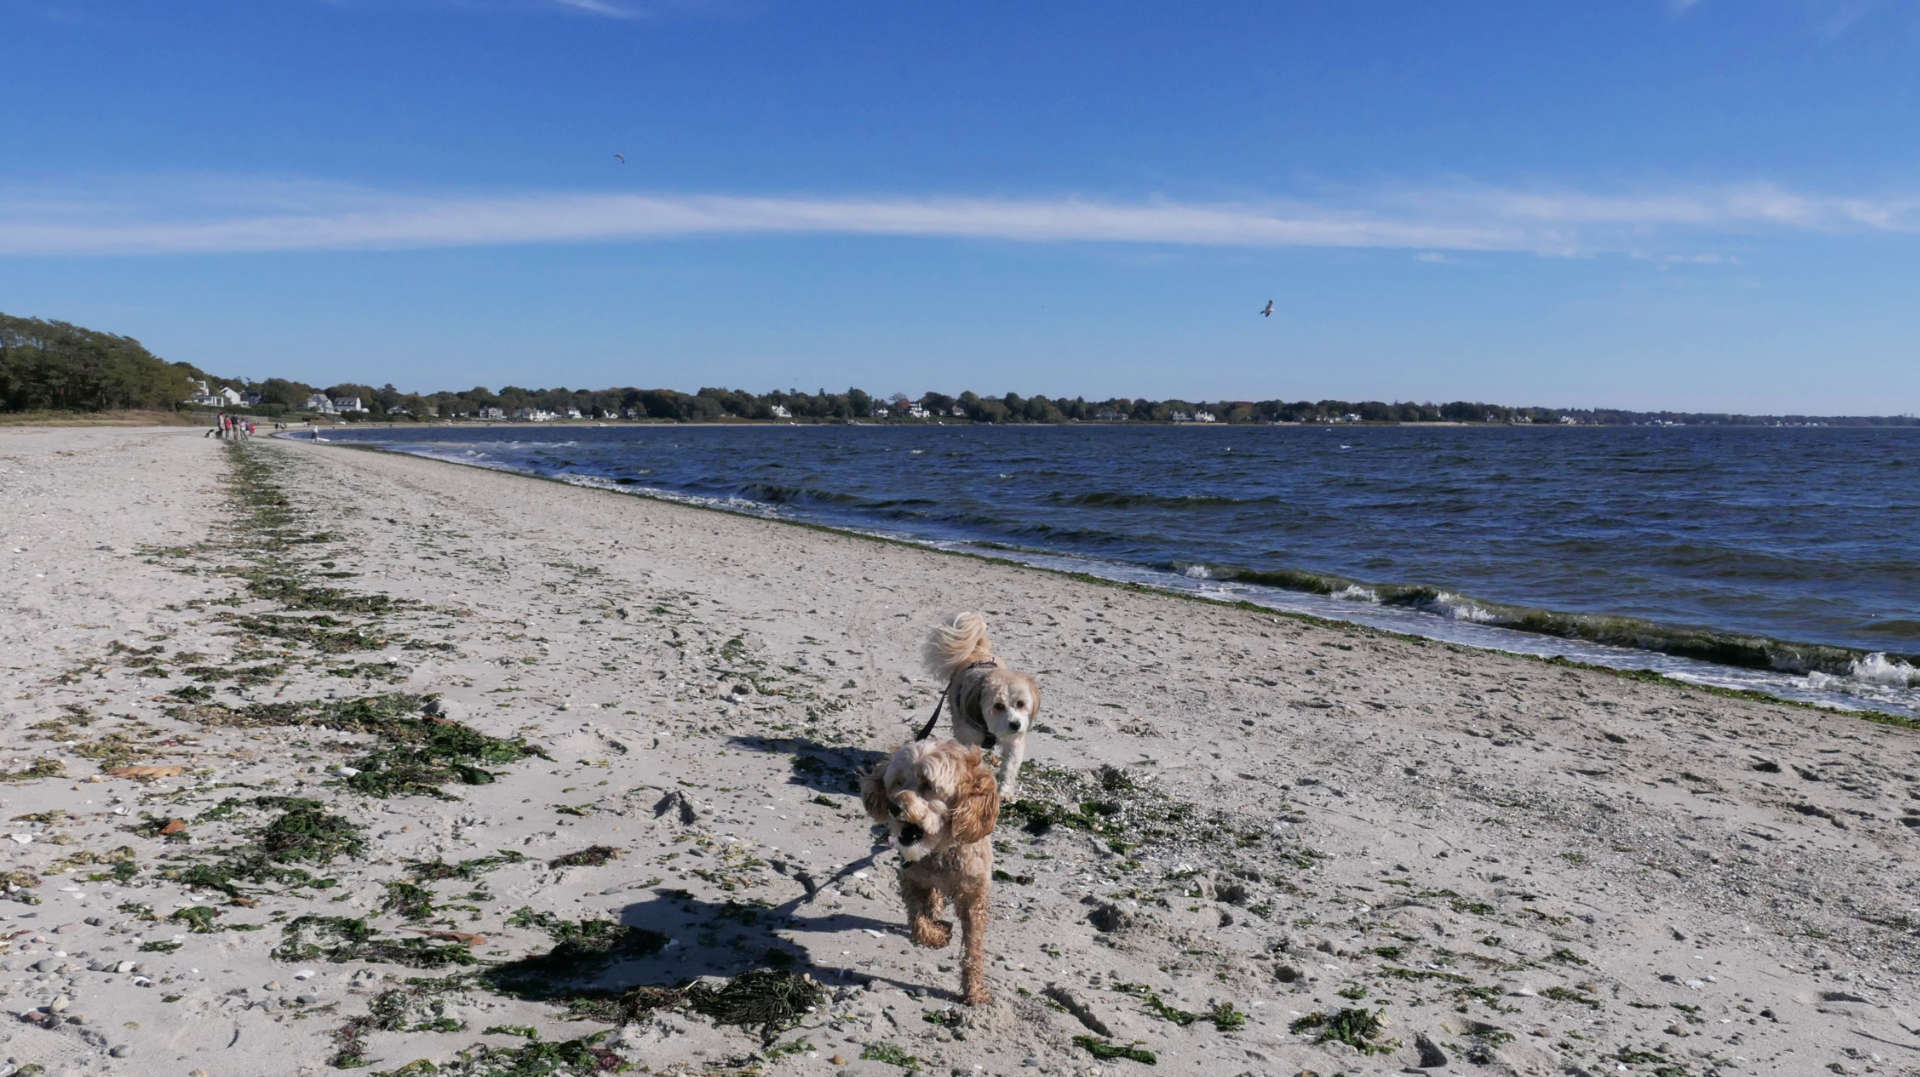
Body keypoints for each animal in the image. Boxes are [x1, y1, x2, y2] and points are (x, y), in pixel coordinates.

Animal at [860, 733, 998, 1005]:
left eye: (927, 785)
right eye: (898, 782)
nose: (894, 806)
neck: (940, 850)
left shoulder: (974, 897)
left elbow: (974, 949)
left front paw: (975, 991)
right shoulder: (911, 878)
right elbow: (918, 919)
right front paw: (937, 934)